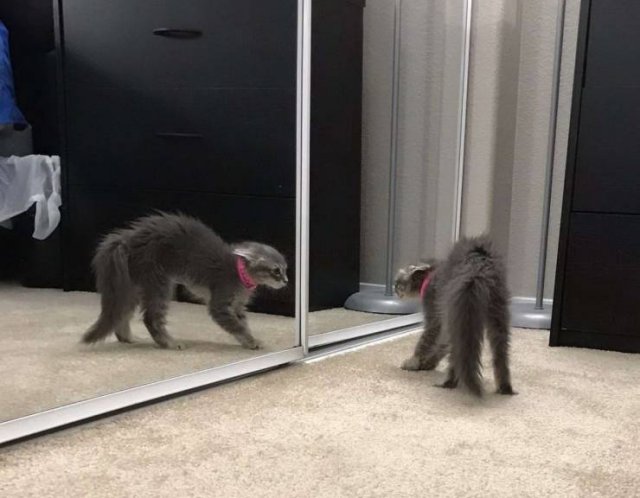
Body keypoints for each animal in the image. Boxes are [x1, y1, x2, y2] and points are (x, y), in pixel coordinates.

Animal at [82, 212, 288, 350]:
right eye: (276, 271)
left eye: (286, 269)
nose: (286, 281)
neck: (240, 275)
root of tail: (127, 237)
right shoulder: (220, 304)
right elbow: (236, 326)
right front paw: (252, 342)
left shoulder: (238, 307)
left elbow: (243, 325)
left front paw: (248, 340)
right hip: (160, 284)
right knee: (151, 318)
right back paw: (169, 343)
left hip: (133, 287)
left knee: (121, 315)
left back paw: (129, 339)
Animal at [394, 235, 515, 396]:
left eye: (397, 283)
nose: (394, 290)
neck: (429, 276)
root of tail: (479, 262)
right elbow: (443, 345)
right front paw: (428, 363)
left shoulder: (435, 313)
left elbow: (426, 340)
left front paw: (414, 362)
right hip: (496, 310)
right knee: (499, 352)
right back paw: (504, 388)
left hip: (458, 309)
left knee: (457, 352)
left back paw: (449, 383)